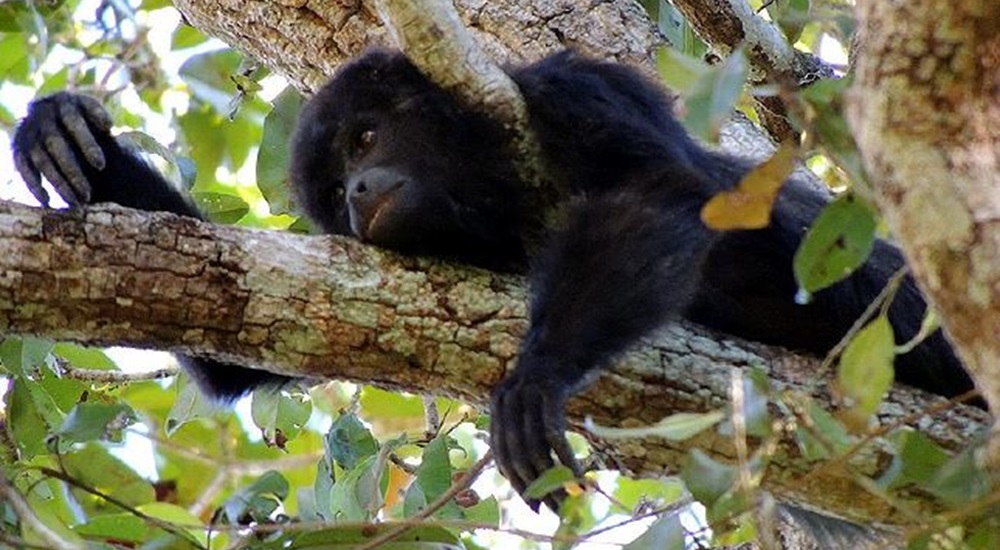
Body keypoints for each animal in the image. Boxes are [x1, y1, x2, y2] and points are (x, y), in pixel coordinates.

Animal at [11, 47, 972, 512]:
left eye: (365, 137)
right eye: (331, 189)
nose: (357, 193)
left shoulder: (573, 88)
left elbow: (656, 194)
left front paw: (536, 377)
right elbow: (230, 343)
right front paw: (61, 135)